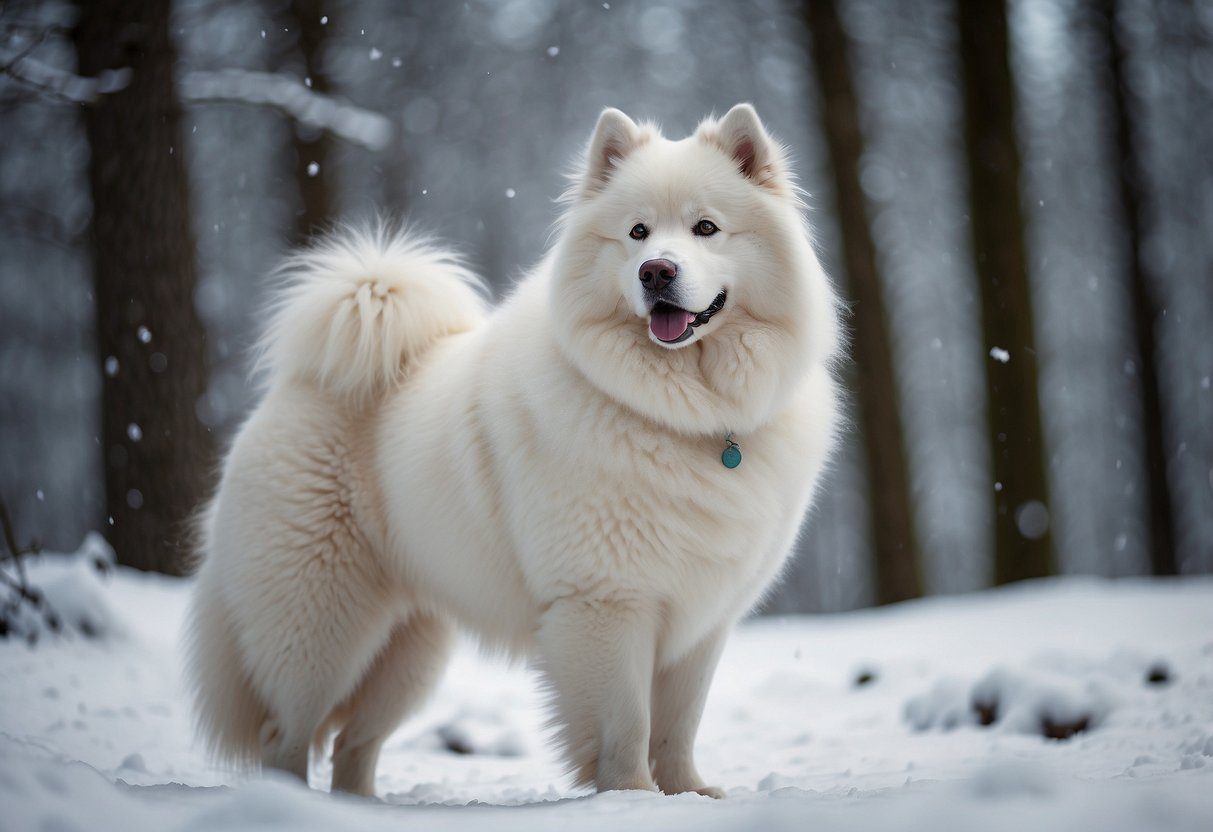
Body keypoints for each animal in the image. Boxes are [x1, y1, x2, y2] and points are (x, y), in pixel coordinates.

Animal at [184, 104, 839, 800]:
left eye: (706, 228)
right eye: (636, 233)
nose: (656, 271)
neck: (686, 417)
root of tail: (300, 383)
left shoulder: (703, 620)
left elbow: (678, 725)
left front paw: (687, 793)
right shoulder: (606, 604)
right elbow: (627, 725)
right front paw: (631, 797)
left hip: (409, 649)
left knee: (351, 744)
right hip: (319, 626)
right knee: (285, 735)